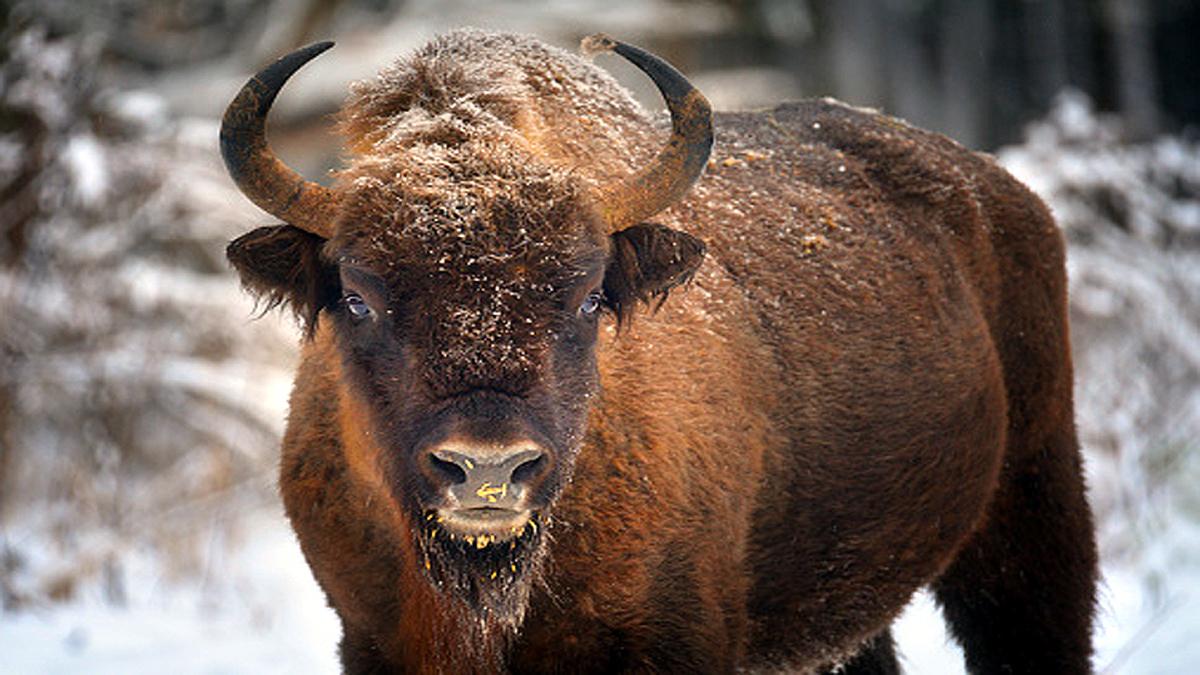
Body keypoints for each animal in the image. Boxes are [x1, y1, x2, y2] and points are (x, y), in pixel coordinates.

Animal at [220, 30, 1097, 674]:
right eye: (357, 297)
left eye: (586, 296)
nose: (487, 469)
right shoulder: (369, 638)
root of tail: (1001, 193)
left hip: (1031, 509)